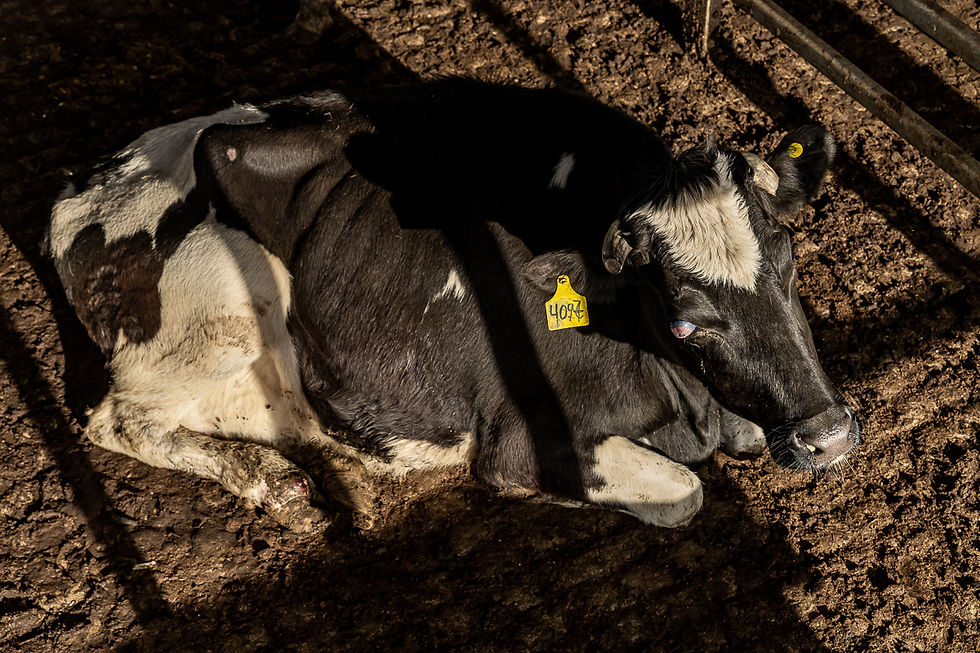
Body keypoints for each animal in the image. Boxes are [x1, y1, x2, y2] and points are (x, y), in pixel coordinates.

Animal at [48, 79, 861, 531]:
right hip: (227, 309)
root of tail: (88, 180)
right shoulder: (526, 439)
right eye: (685, 316)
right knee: (117, 420)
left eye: (790, 260)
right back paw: (268, 480)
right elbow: (685, 491)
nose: (826, 437)